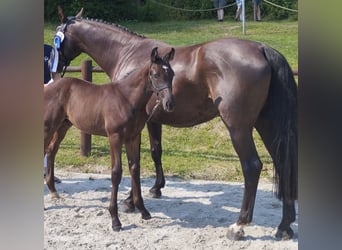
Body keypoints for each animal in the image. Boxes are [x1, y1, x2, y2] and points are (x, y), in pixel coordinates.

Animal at [43, 47, 175, 230]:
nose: (169, 103)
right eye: (155, 75)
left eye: (172, 74)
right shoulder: (115, 137)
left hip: (63, 125)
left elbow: (135, 169)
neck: (127, 99)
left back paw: (53, 190)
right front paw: (115, 219)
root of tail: (49, 86)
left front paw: (143, 210)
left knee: (51, 150)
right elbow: (116, 173)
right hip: (48, 126)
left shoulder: (133, 137)